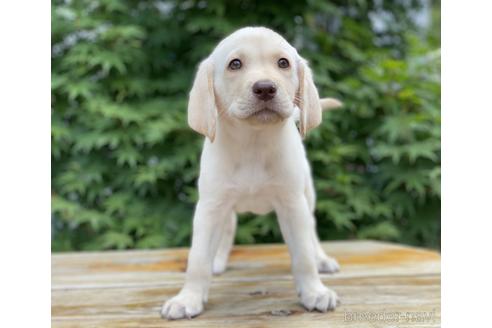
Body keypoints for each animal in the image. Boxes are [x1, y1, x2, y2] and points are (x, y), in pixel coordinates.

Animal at [161, 26, 342, 320]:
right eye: (235, 64)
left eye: (283, 63)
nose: (265, 88)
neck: (253, 143)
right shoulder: (210, 206)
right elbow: (197, 259)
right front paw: (188, 298)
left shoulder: (292, 204)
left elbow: (303, 255)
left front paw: (314, 292)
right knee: (227, 229)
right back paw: (218, 261)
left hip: (307, 195)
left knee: (313, 233)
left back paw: (322, 259)